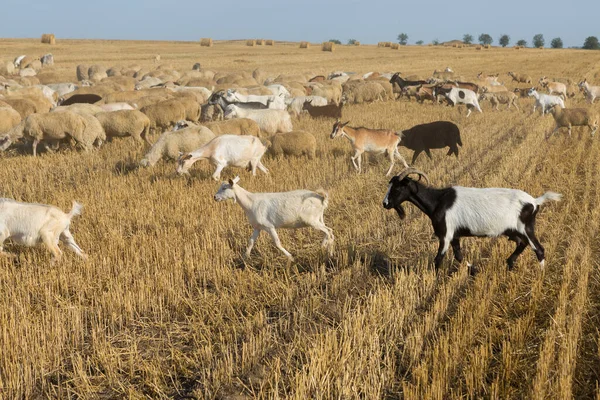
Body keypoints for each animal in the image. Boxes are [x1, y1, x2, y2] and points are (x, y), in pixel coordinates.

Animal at [384, 167, 564, 270]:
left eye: (398, 188)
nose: (385, 203)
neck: (437, 201)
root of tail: (534, 201)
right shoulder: (455, 235)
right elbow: (459, 256)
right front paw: (472, 269)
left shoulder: (445, 234)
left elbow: (438, 259)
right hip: (514, 231)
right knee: (522, 244)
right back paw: (509, 265)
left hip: (526, 228)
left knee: (538, 249)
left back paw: (539, 277)